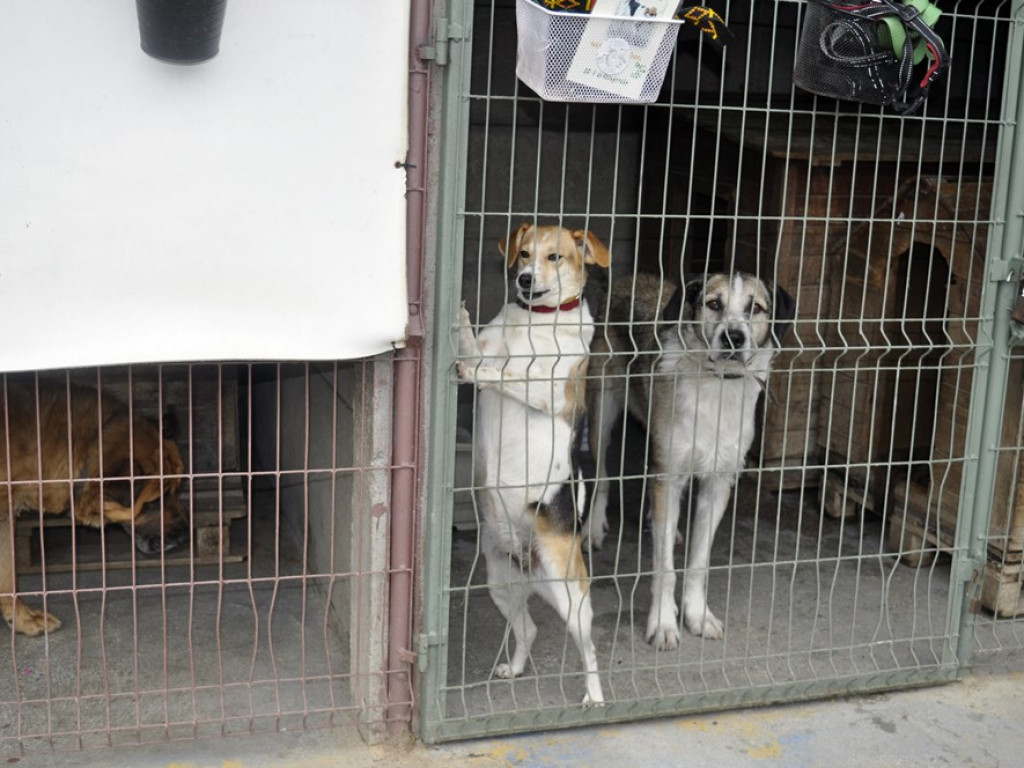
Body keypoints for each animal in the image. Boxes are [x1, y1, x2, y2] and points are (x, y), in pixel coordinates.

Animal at [460, 221, 610, 704]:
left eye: (554, 257)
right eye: (524, 253)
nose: (525, 280)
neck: (536, 319)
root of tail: (530, 558)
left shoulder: (547, 390)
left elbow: (508, 374)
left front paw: (480, 373)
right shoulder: (488, 345)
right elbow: (478, 350)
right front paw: (461, 323)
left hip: (571, 596)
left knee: (589, 649)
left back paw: (594, 696)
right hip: (500, 583)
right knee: (528, 630)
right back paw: (516, 667)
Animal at [589, 274, 794, 651]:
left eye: (755, 308)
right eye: (713, 304)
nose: (733, 337)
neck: (717, 384)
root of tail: (625, 278)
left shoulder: (719, 483)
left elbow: (698, 563)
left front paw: (698, 615)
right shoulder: (669, 474)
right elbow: (665, 568)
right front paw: (663, 623)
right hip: (602, 411)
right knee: (601, 477)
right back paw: (593, 528)